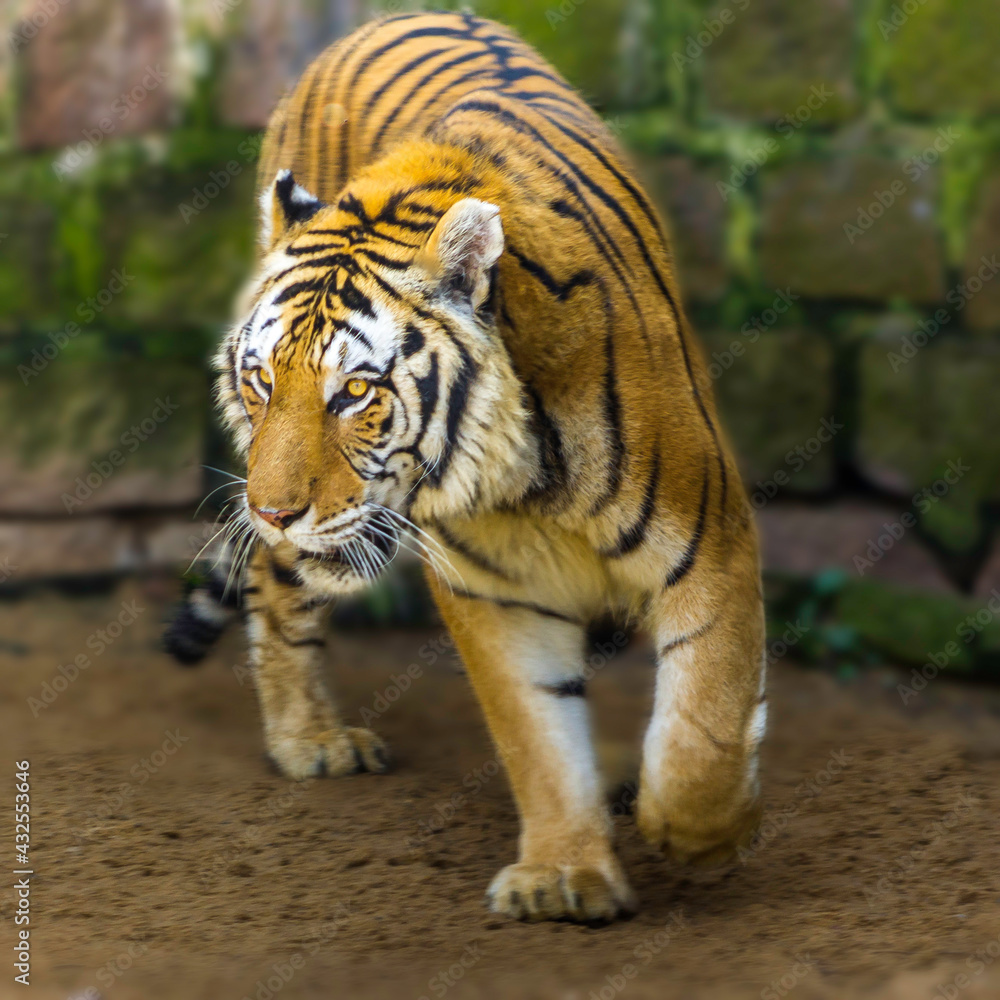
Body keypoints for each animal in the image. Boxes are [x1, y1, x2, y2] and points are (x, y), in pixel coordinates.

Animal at [168, 10, 767, 923]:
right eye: (263, 380)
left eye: (354, 392)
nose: (273, 512)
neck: (524, 478)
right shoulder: (493, 591)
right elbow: (537, 737)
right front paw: (563, 875)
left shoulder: (711, 544)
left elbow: (708, 712)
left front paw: (694, 831)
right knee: (277, 589)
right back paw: (311, 740)